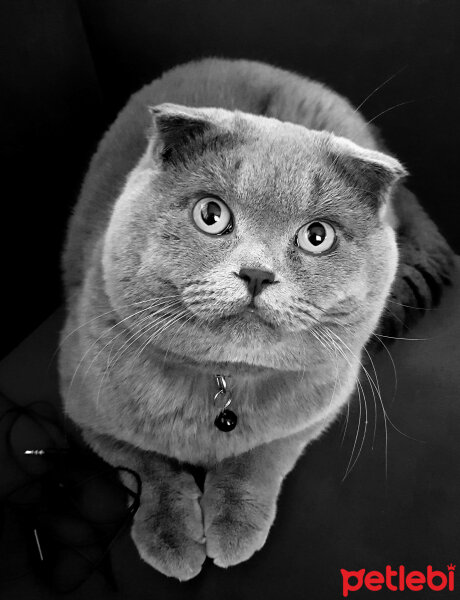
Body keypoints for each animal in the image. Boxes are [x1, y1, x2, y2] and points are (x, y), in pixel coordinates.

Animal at [57, 58, 452, 580]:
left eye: (317, 236)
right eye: (211, 214)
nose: (257, 273)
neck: (221, 386)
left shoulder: (319, 405)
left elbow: (260, 456)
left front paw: (234, 526)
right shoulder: (85, 408)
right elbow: (147, 465)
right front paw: (170, 537)